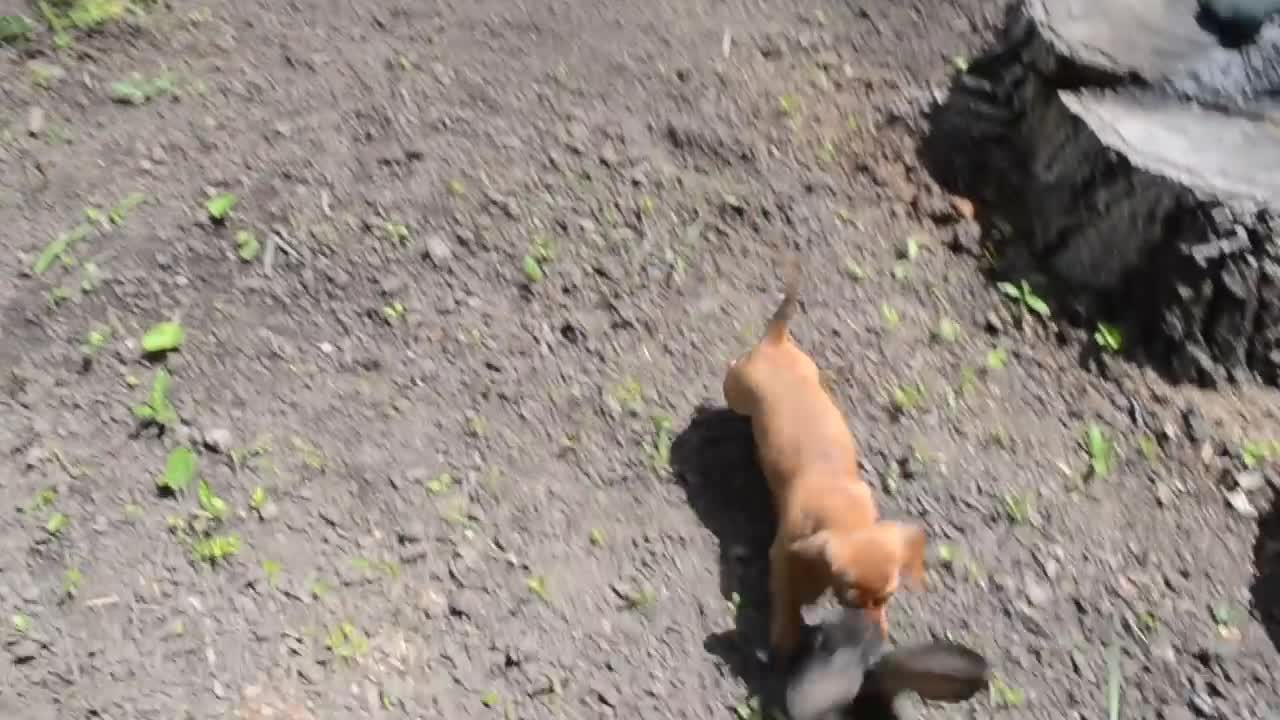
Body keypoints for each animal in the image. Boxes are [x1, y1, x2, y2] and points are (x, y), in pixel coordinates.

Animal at [727, 257, 926, 661]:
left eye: (887, 598)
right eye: (851, 600)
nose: (874, 639)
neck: (845, 513)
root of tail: (775, 342)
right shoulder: (783, 555)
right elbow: (786, 597)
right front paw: (786, 636)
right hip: (736, 389)